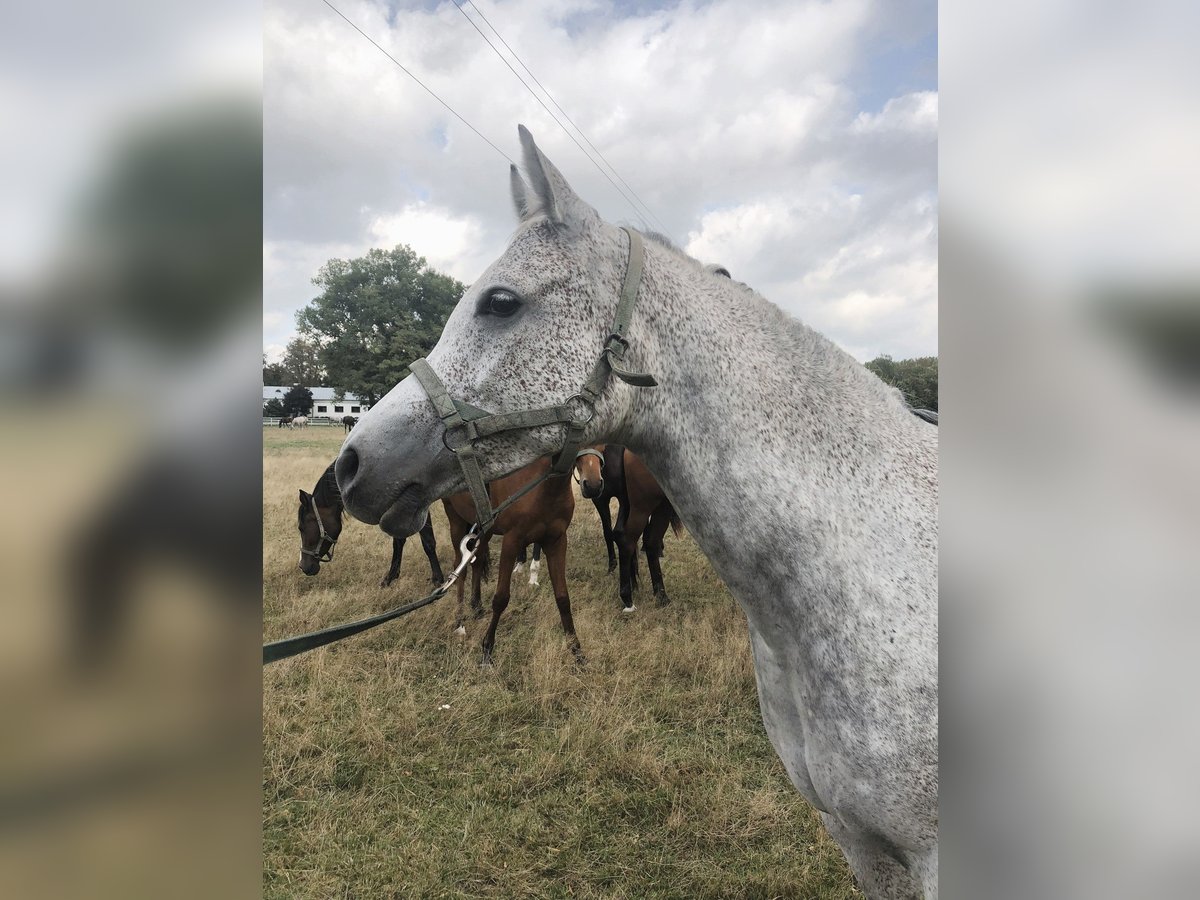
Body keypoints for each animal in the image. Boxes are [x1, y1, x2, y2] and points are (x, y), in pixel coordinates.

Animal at [448, 460, 583, 667]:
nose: (593, 484)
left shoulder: (557, 542)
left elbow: (563, 598)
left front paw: (576, 651)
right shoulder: (512, 542)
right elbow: (501, 599)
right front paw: (487, 651)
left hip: (484, 531)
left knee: (477, 563)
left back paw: (477, 608)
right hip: (456, 521)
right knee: (460, 570)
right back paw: (459, 624)